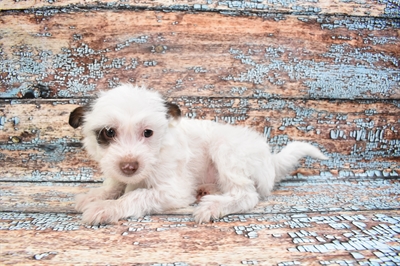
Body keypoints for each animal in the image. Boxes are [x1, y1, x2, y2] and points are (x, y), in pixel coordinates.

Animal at [69, 85, 328, 224]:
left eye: (148, 132)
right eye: (109, 132)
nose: (129, 166)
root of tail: (270, 159)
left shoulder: (173, 191)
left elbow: (136, 195)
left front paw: (107, 208)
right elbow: (114, 183)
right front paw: (97, 195)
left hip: (226, 149)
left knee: (246, 194)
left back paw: (214, 206)